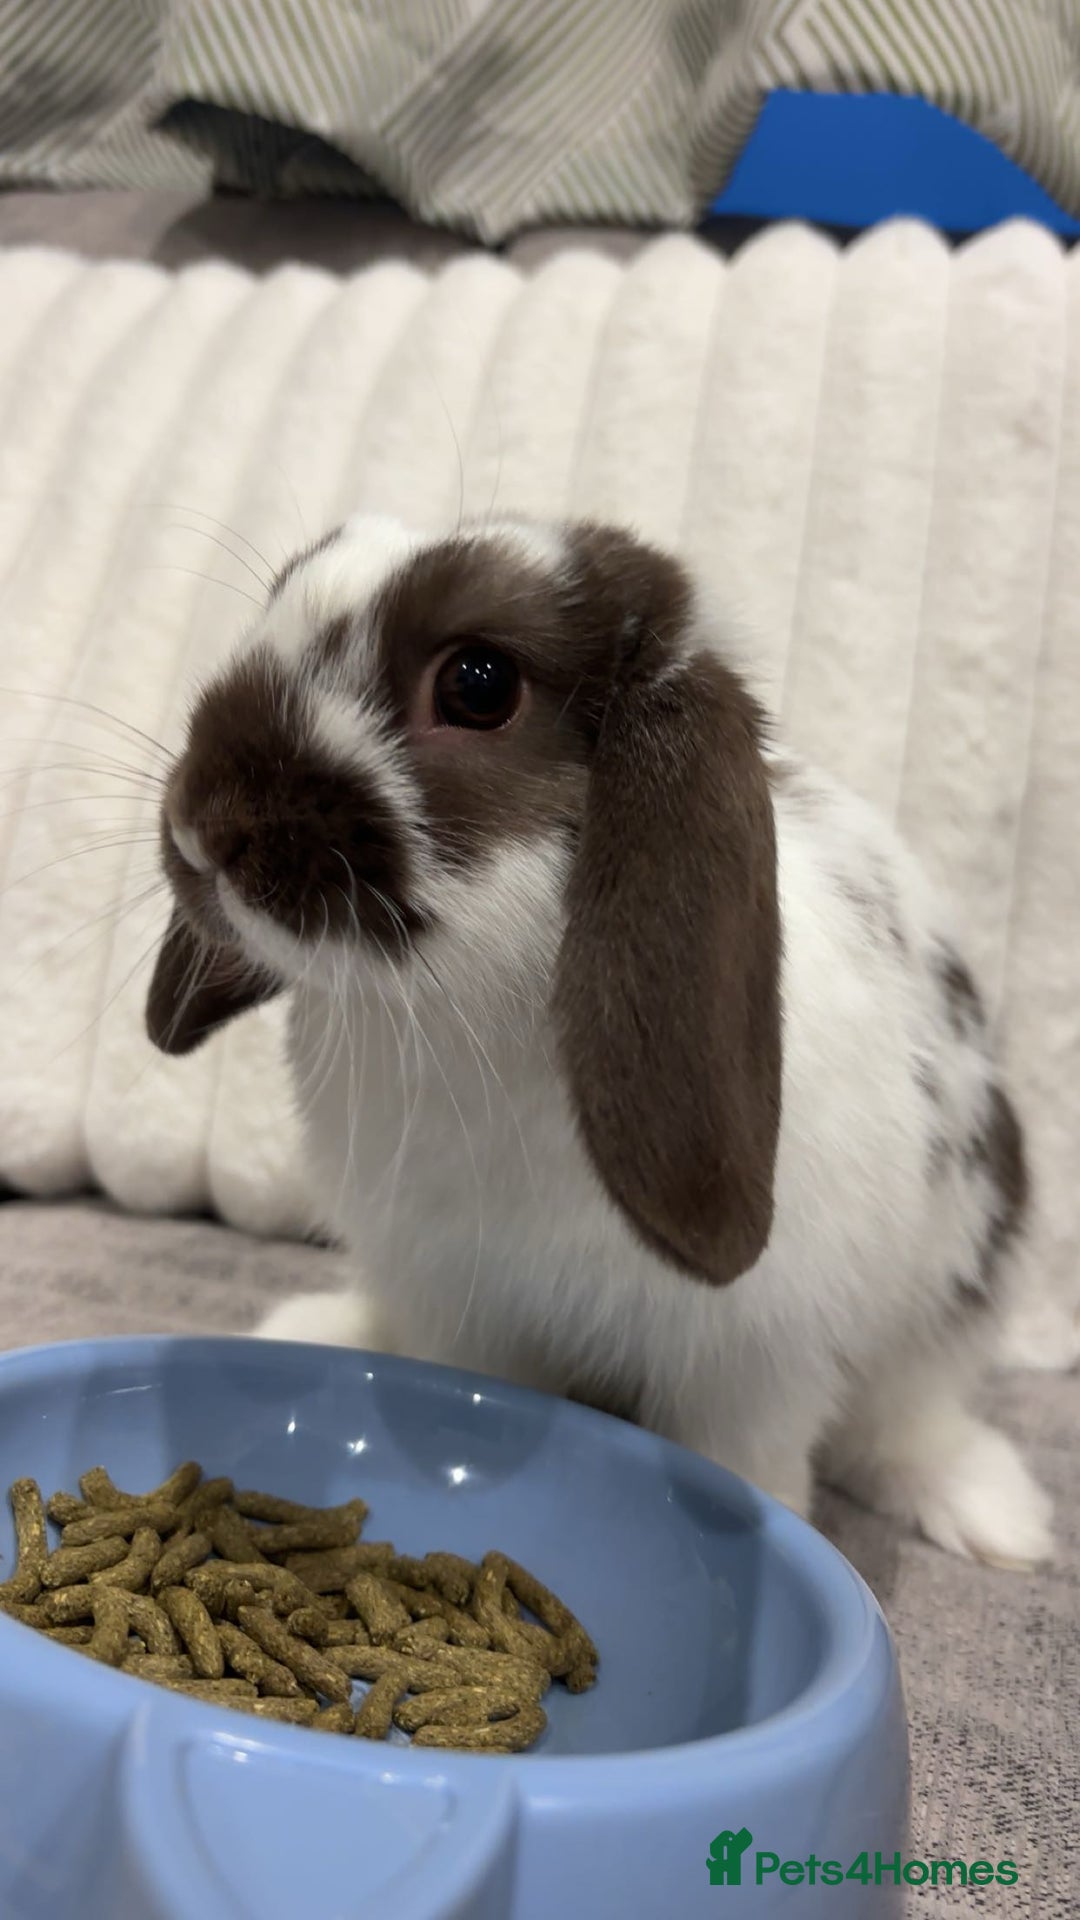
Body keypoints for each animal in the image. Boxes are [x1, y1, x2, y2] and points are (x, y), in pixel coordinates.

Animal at [146, 512, 1053, 1569]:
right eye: (278, 597)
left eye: (479, 684)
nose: (201, 825)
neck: (469, 1007)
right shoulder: (463, 1307)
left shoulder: (753, 1359)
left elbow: (749, 1463)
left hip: (962, 1269)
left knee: (905, 1415)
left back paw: (997, 1517)